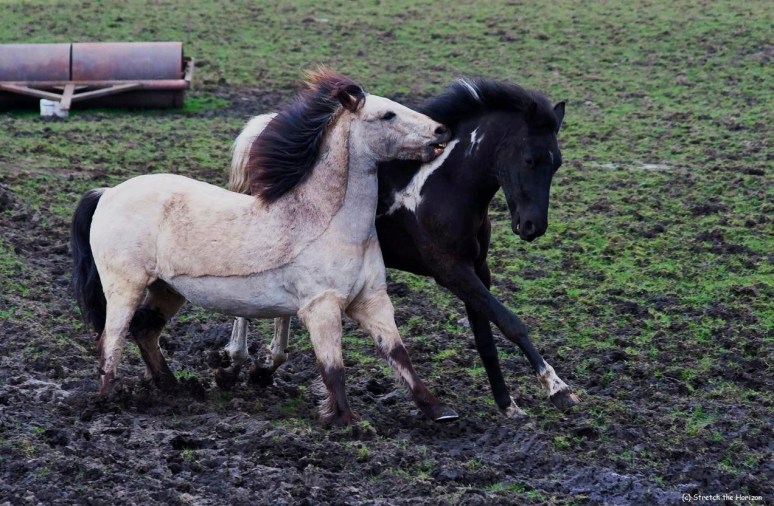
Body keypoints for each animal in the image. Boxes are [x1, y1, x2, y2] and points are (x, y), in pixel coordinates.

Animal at [70, 70, 457, 426]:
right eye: (387, 115)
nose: (440, 131)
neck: (329, 223)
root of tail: (108, 192)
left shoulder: (372, 300)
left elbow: (398, 352)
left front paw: (437, 410)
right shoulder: (321, 307)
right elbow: (333, 367)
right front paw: (347, 421)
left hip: (167, 288)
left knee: (145, 331)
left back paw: (173, 387)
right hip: (125, 286)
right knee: (112, 338)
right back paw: (105, 401)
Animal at [225, 77, 580, 417]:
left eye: (557, 163)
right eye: (529, 159)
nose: (533, 226)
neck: (445, 185)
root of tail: (262, 130)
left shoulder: (479, 270)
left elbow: (486, 340)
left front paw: (508, 405)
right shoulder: (452, 272)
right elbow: (511, 323)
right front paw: (558, 389)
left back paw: (265, 364)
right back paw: (237, 357)